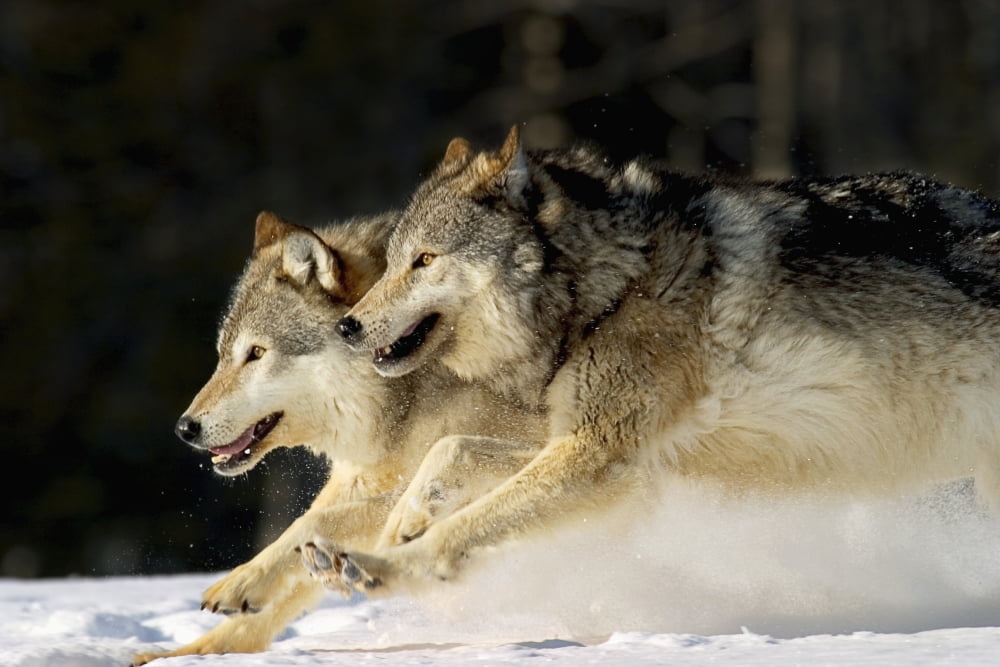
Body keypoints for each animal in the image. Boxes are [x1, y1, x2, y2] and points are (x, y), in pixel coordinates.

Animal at [133, 211, 544, 665]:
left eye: (256, 353)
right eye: (224, 356)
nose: (184, 428)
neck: (405, 393)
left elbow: (317, 520)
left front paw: (243, 582)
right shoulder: (357, 478)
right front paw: (189, 652)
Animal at [303, 126, 1000, 599]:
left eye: (424, 260)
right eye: (393, 262)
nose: (347, 325)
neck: (611, 287)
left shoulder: (598, 457)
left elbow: (463, 528)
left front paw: (383, 565)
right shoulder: (625, 465)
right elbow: (450, 451)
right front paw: (401, 523)